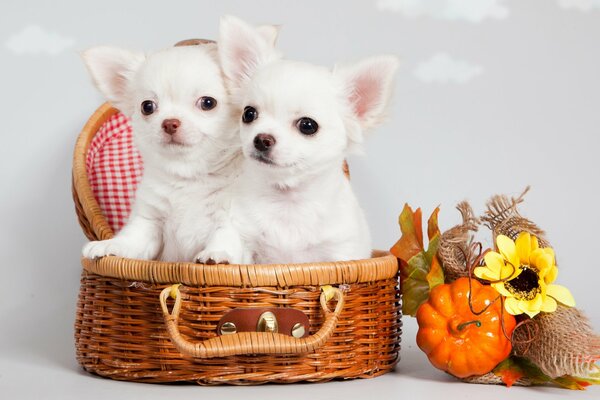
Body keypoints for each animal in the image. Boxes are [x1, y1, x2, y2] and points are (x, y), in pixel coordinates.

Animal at [79, 44, 251, 262]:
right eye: (147, 106)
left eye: (208, 103)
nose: (169, 123)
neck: (189, 176)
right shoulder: (149, 222)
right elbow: (132, 239)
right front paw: (111, 245)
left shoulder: (232, 218)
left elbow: (226, 236)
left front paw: (217, 254)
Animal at [206, 17, 398, 264]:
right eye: (248, 114)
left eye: (307, 126)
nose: (262, 139)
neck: (288, 202)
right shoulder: (242, 231)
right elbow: (229, 239)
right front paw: (217, 254)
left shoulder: (341, 251)